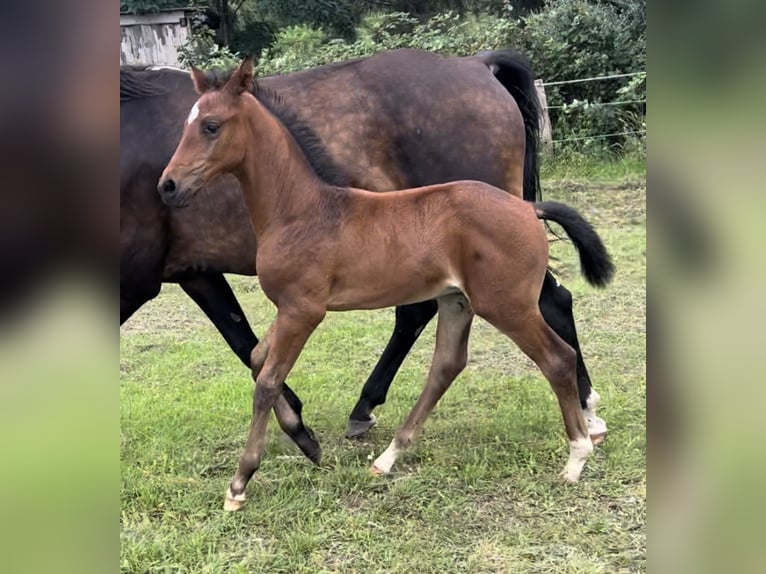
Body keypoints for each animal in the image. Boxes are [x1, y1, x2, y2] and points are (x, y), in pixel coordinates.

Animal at [159, 57, 616, 508]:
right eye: (185, 124)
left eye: (211, 126)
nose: (168, 185)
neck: (300, 209)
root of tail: (528, 209)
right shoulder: (288, 310)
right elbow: (257, 359)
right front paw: (303, 439)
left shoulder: (303, 311)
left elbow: (267, 382)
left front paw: (240, 484)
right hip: (457, 301)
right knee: (446, 365)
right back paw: (388, 456)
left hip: (506, 305)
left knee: (556, 357)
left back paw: (577, 455)